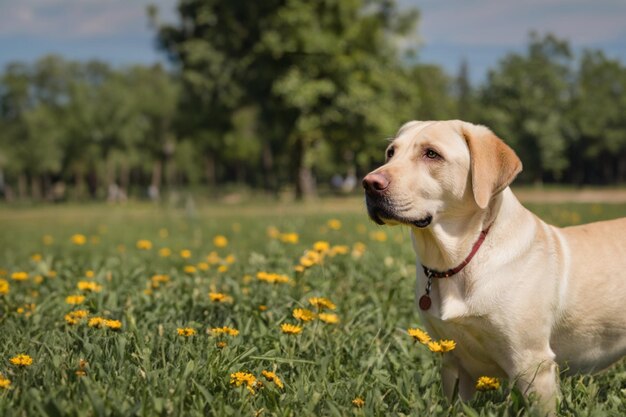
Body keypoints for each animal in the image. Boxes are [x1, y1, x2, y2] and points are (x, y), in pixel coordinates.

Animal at [360, 119, 624, 412]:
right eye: (391, 152)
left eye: (431, 154)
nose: (369, 183)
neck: (458, 261)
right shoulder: (452, 360)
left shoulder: (533, 363)